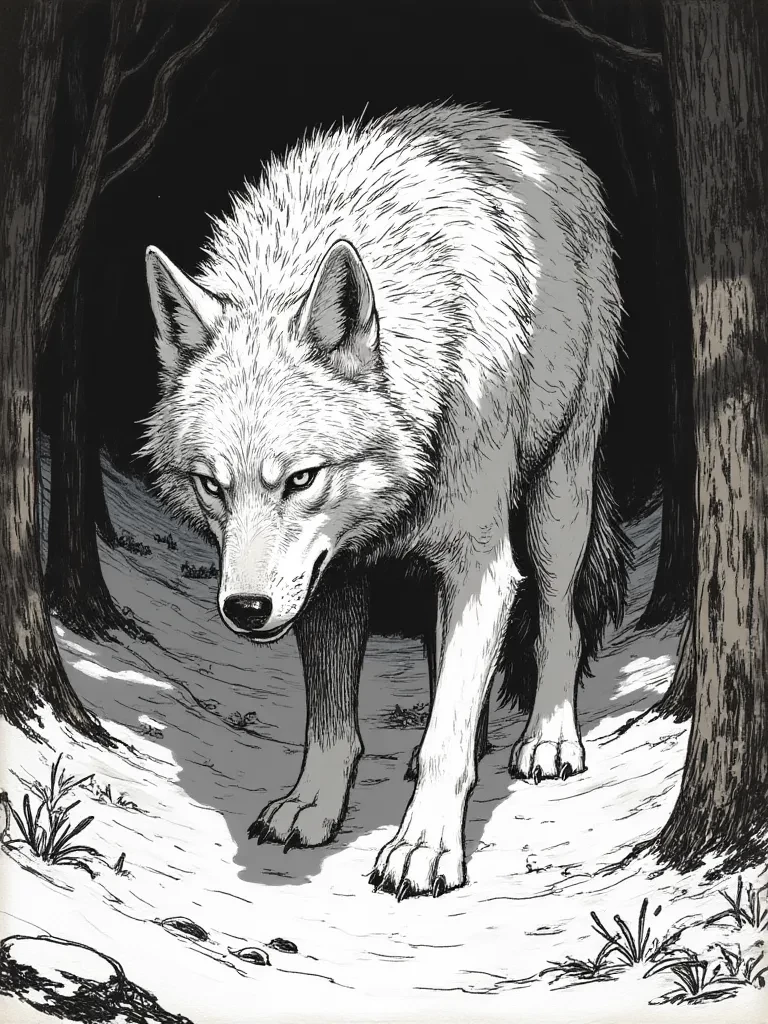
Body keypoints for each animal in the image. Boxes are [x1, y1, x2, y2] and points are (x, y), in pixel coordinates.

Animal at [142, 104, 631, 901]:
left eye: (300, 478)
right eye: (213, 485)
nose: (245, 610)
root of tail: (525, 128)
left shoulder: (481, 566)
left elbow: (444, 741)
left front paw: (425, 847)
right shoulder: (330, 577)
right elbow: (333, 722)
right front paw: (312, 807)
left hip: (560, 498)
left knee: (558, 621)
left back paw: (549, 739)